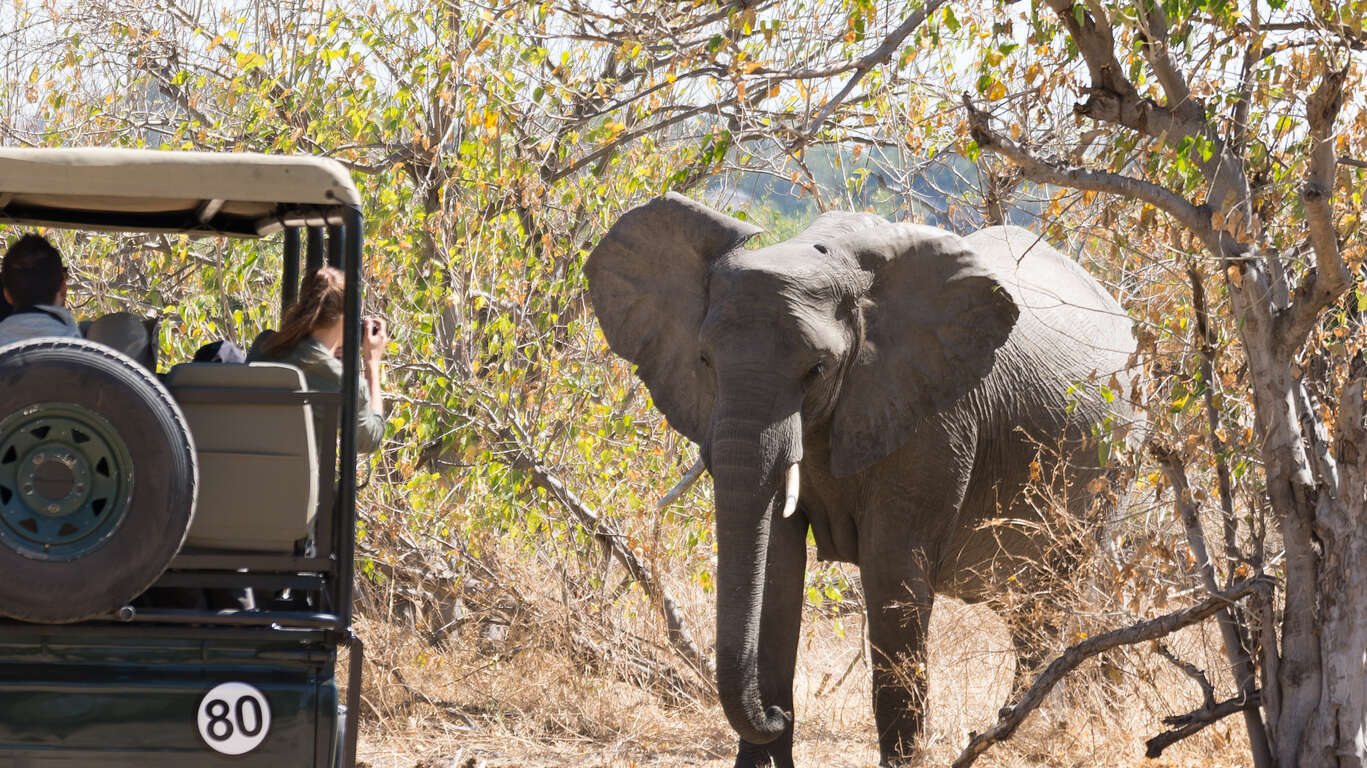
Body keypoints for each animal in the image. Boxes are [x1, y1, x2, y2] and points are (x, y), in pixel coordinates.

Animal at [582, 192, 1137, 765]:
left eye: (817, 369)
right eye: (704, 360)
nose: (775, 714)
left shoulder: (935, 417)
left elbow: (892, 574)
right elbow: (777, 568)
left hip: (1110, 469)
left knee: (1049, 601)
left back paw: (1025, 730)